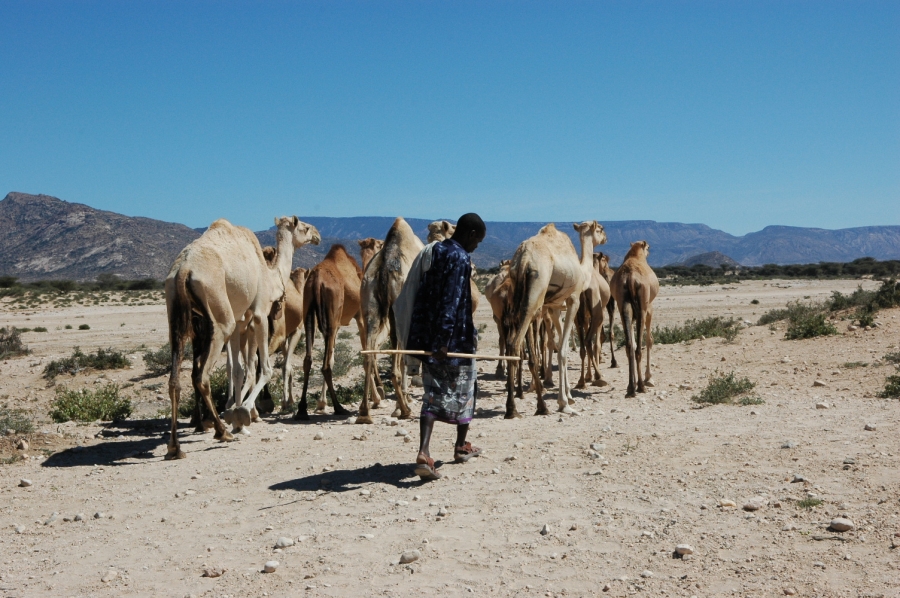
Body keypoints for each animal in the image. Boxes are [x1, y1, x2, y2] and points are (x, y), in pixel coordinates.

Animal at [165, 218, 320, 462]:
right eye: (304, 227)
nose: (318, 235)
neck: (269, 275)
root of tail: (183, 270)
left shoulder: (240, 322)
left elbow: (239, 369)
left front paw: (237, 418)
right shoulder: (258, 314)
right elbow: (263, 368)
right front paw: (244, 412)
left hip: (174, 313)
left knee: (175, 380)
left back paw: (175, 447)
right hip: (219, 316)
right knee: (202, 376)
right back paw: (221, 431)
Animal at [298, 244, 364, 422]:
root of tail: (317, 280)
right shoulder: (360, 315)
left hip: (309, 309)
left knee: (308, 360)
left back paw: (302, 410)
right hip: (331, 316)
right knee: (326, 366)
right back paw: (339, 407)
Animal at [358, 218, 426, 424]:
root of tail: (385, 268)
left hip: (369, 305)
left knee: (368, 354)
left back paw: (364, 412)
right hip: (399, 311)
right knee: (398, 361)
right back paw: (403, 408)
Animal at [502, 219, 608, 418]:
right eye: (600, 228)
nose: (605, 238)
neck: (583, 271)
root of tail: (523, 259)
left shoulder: (554, 307)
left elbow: (559, 344)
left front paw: (568, 396)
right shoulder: (572, 299)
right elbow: (563, 350)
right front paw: (564, 403)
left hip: (517, 295)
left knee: (513, 343)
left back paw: (513, 406)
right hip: (536, 292)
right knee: (516, 343)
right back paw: (529, 407)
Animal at [608, 239, 656, 398]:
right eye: (648, 247)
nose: (649, 251)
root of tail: (630, 278)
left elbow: (633, 342)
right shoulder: (649, 308)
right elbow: (649, 340)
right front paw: (649, 378)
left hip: (623, 306)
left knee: (629, 345)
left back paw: (630, 387)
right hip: (642, 308)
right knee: (639, 347)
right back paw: (641, 386)